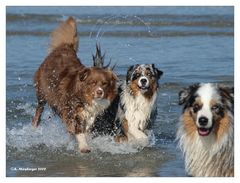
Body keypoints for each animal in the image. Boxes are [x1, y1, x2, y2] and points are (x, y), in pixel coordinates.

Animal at [31, 16, 117, 153]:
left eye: (105, 84)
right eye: (92, 83)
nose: (99, 92)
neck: (85, 98)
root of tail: (65, 47)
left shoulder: (90, 116)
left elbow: (86, 130)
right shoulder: (71, 112)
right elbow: (77, 130)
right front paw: (84, 146)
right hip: (43, 92)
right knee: (39, 109)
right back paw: (34, 126)